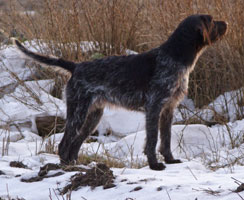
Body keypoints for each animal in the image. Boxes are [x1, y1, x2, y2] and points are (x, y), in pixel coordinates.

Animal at [14, 14, 228, 170]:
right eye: (211, 20)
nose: (226, 22)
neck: (175, 57)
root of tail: (76, 66)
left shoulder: (168, 109)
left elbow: (166, 139)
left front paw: (170, 160)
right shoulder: (154, 108)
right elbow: (152, 139)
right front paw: (154, 164)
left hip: (93, 116)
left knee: (75, 144)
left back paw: (77, 165)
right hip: (78, 113)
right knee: (65, 144)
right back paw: (67, 167)